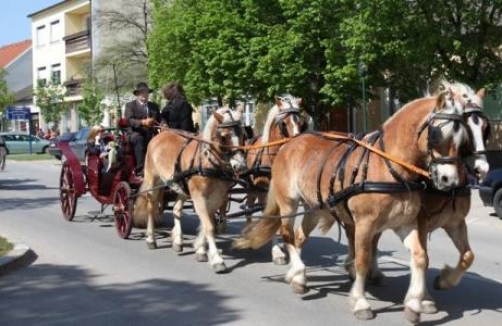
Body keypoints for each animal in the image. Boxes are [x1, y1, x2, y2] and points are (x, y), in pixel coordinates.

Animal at [134, 107, 246, 272]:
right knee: (151, 208)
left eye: (244, 134)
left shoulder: (217, 197)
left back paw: (178, 241)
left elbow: (208, 224)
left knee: (176, 209)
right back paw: (151, 239)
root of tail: (160, 134)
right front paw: (217, 260)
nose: (240, 166)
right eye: (224, 137)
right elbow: (209, 226)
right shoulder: (199, 197)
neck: (208, 161)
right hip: (153, 181)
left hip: (182, 188)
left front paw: (201, 250)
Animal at [233, 90, 468, 322]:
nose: (449, 179)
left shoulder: (405, 223)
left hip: (314, 208)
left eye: (462, 139)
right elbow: (362, 260)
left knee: (299, 236)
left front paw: (414, 303)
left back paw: (295, 275)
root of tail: (289, 144)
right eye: (437, 134)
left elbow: (420, 257)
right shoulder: (365, 224)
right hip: (288, 203)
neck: (389, 167)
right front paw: (360, 302)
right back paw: (298, 272)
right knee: (286, 234)